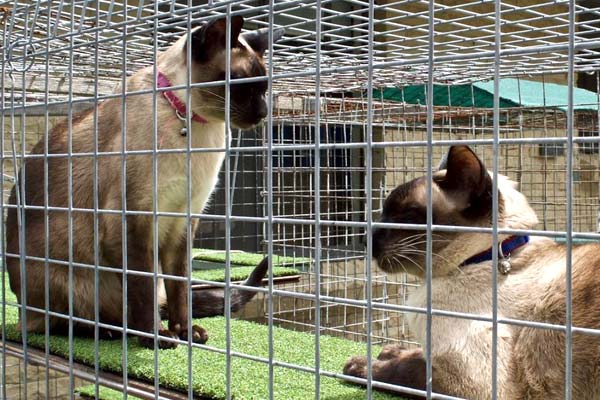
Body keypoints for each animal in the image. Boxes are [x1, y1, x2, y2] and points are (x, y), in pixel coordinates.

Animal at [5, 16, 286, 346]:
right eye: (240, 85)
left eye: (264, 89)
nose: (263, 113)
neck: (193, 125)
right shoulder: (133, 221)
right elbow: (143, 290)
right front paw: (156, 338)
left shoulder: (183, 221)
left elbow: (180, 288)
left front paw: (186, 333)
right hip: (67, 275)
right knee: (60, 322)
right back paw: (110, 331)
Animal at [342, 145, 600, 398]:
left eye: (405, 217)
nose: (366, 239)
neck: (478, 259)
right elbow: (413, 354)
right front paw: (390, 350)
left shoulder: (474, 383)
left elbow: (404, 369)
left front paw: (360, 365)